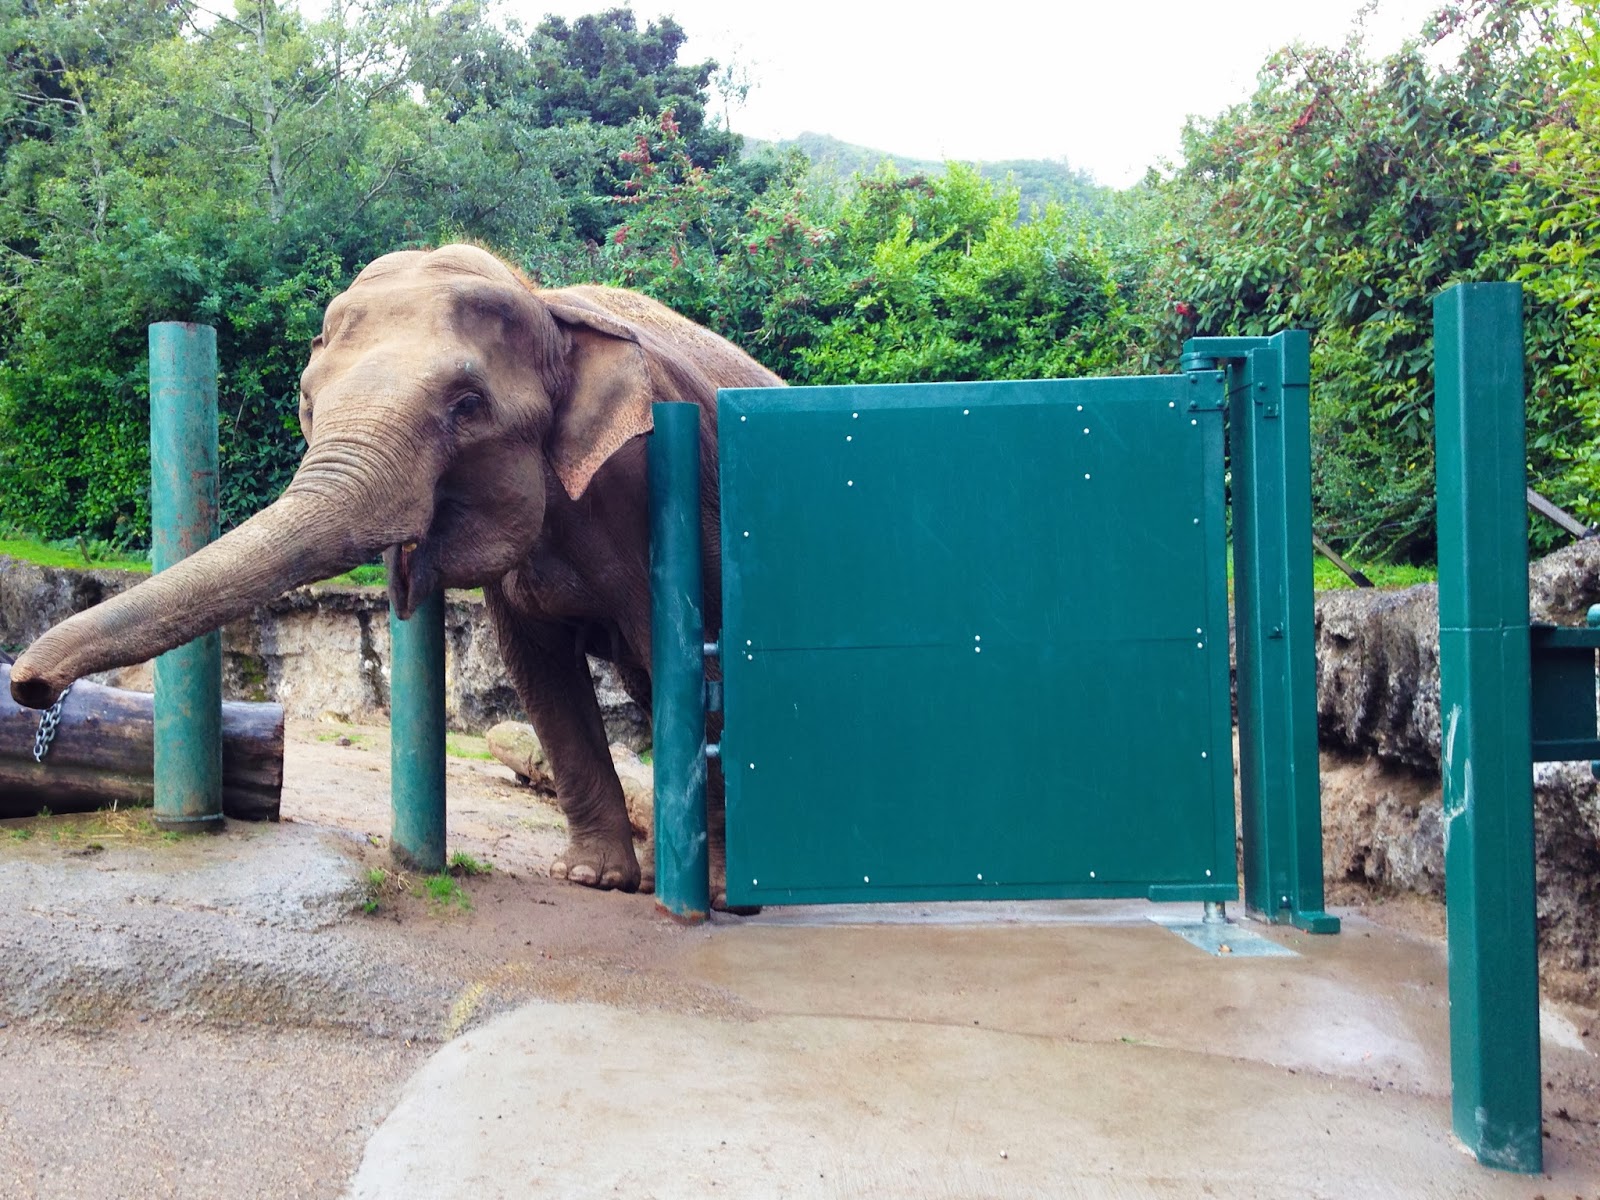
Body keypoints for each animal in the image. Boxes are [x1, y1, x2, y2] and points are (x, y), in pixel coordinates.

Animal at [10, 243, 781, 904]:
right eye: (308, 402)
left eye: (467, 406)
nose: (28, 686)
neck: (541, 299)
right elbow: (542, 676)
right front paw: (591, 880)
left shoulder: (658, 493)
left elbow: (698, 664)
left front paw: (717, 894)